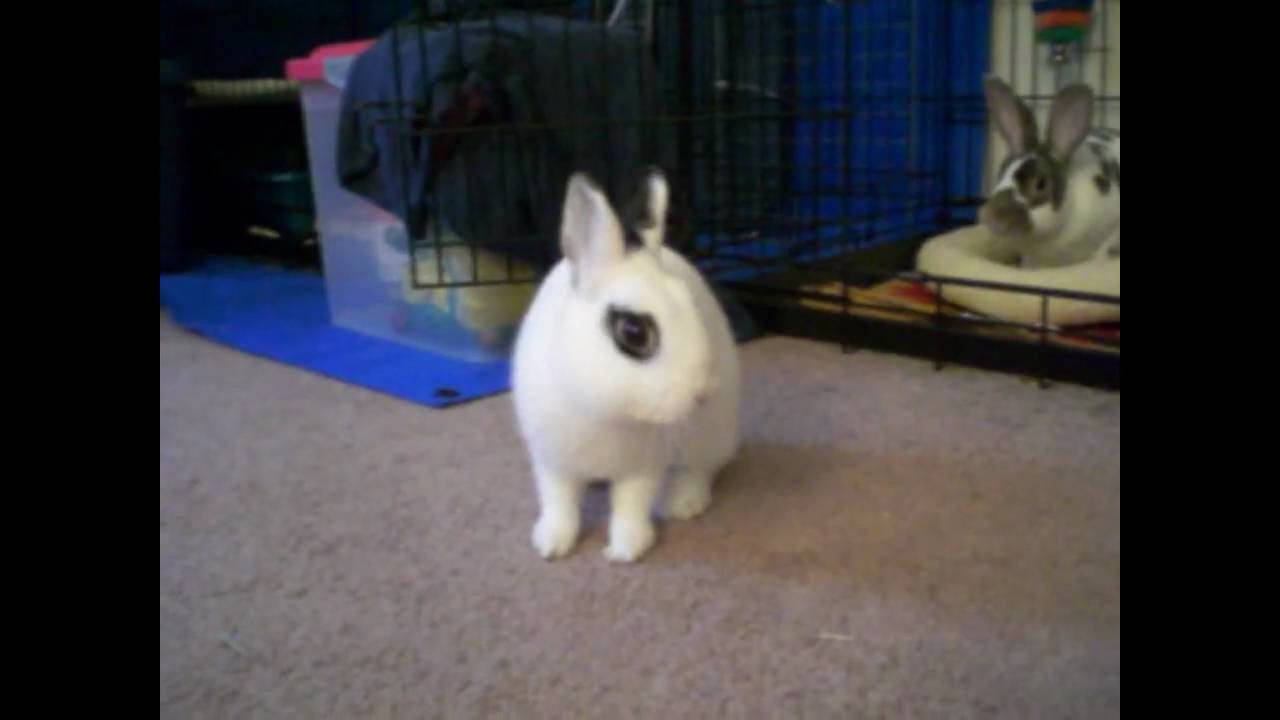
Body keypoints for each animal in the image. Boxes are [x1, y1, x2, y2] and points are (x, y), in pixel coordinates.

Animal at [511, 167, 741, 564]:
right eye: (634, 332)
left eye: (689, 302)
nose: (702, 394)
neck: (606, 413)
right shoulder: (552, 460)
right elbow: (559, 502)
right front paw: (551, 544)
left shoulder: (642, 467)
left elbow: (631, 505)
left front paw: (625, 550)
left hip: (710, 433)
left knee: (702, 467)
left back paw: (683, 503)